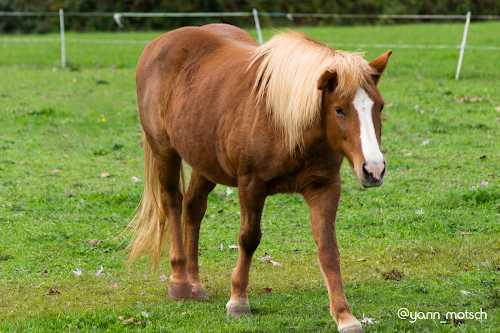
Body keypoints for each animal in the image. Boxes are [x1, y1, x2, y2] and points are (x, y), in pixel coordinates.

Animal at [125, 24, 390, 332]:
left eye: (380, 107)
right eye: (339, 109)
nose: (374, 169)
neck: (287, 122)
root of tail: (159, 42)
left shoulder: (325, 187)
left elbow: (328, 248)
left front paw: (345, 316)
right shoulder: (251, 185)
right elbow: (249, 238)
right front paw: (238, 301)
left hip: (204, 159)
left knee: (193, 208)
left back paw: (196, 284)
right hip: (164, 150)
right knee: (173, 203)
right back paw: (180, 283)